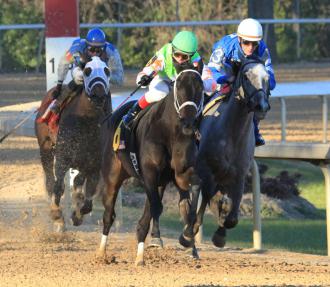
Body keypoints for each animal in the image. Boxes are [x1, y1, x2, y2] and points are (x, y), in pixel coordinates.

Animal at [35, 56, 111, 232]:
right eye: (87, 70)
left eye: (107, 70)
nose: (99, 95)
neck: (87, 121)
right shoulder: (63, 158)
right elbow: (58, 186)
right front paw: (57, 214)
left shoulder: (93, 164)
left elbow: (88, 198)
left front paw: (77, 215)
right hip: (46, 149)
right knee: (50, 181)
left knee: (77, 182)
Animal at [97, 65, 204, 268]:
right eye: (179, 87)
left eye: (201, 88)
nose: (188, 124)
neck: (169, 133)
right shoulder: (149, 173)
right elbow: (156, 207)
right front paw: (142, 254)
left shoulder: (181, 174)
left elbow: (190, 199)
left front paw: (188, 239)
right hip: (112, 175)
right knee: (108, 214)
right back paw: (101, 253)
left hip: (159, 182)